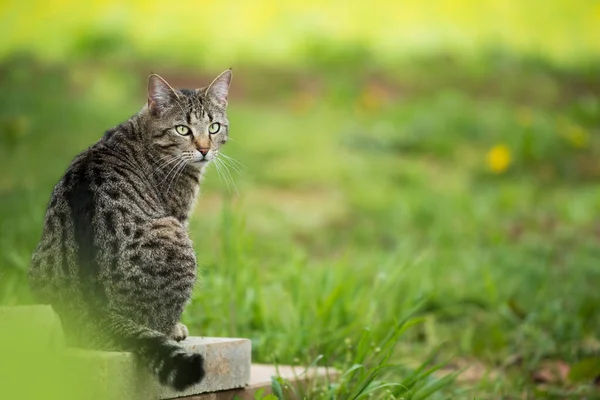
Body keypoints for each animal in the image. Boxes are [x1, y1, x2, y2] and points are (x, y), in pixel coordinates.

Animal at [29, 69, 233, 390]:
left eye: (214, 127)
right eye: (182, 130)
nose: (204, 149)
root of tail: (97, 313)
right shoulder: (178, 214)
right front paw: (178, 329)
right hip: (176, 235)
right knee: (156, 325)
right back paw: (172, 329)